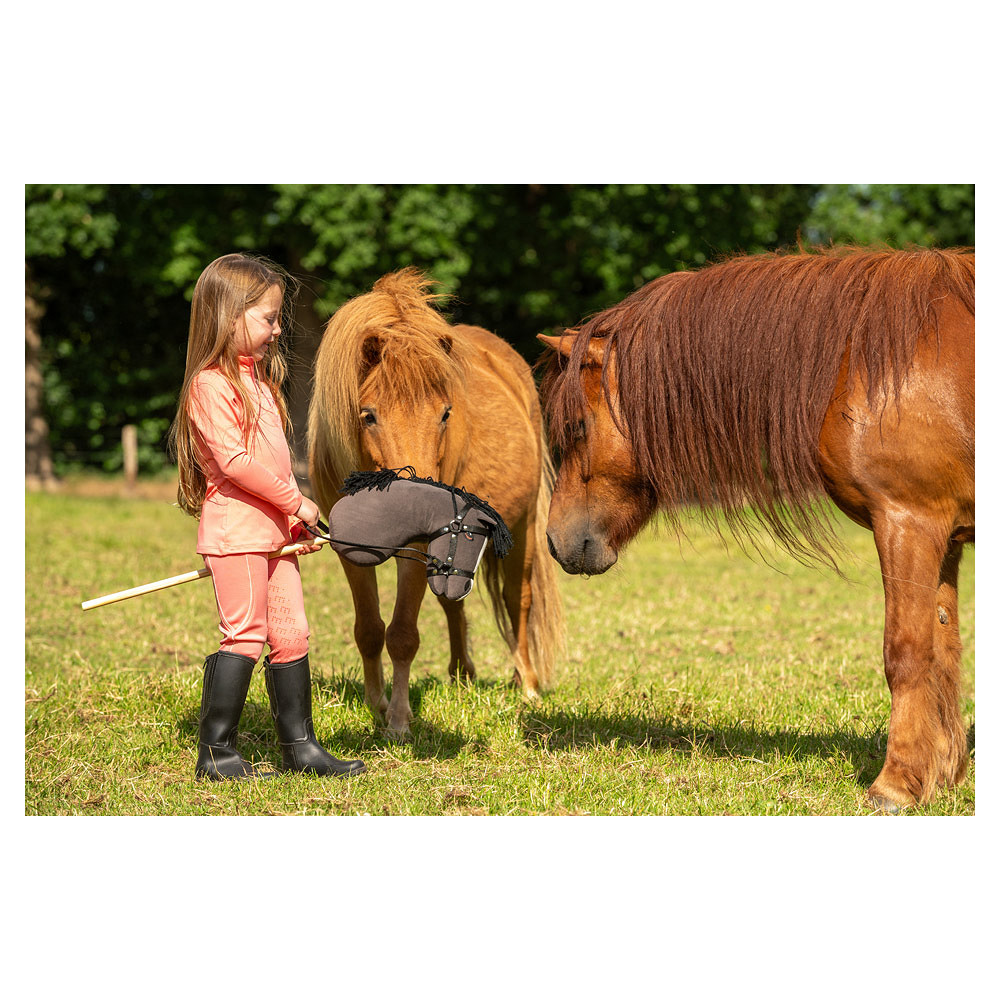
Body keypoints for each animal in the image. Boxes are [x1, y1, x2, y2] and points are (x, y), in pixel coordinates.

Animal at [309, 268, 563, 737]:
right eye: (368, 414)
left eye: (445, 413)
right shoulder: (349, 549)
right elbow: (368, 629)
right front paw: (376, 705)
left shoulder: (419, 545)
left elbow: (402, 634)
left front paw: (398, 721)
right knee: (451, 601)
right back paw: (461, 676)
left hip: (524, 527)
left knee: (518, 599)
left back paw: (527, 685)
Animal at [538, 246, 974, 811]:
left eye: (577, 427)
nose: (557, 541)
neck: (869, 362)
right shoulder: (944, 539)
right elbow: (943, 653)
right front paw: (939, 775)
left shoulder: (909, 521)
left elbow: (906, 652)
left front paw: (896, 785)